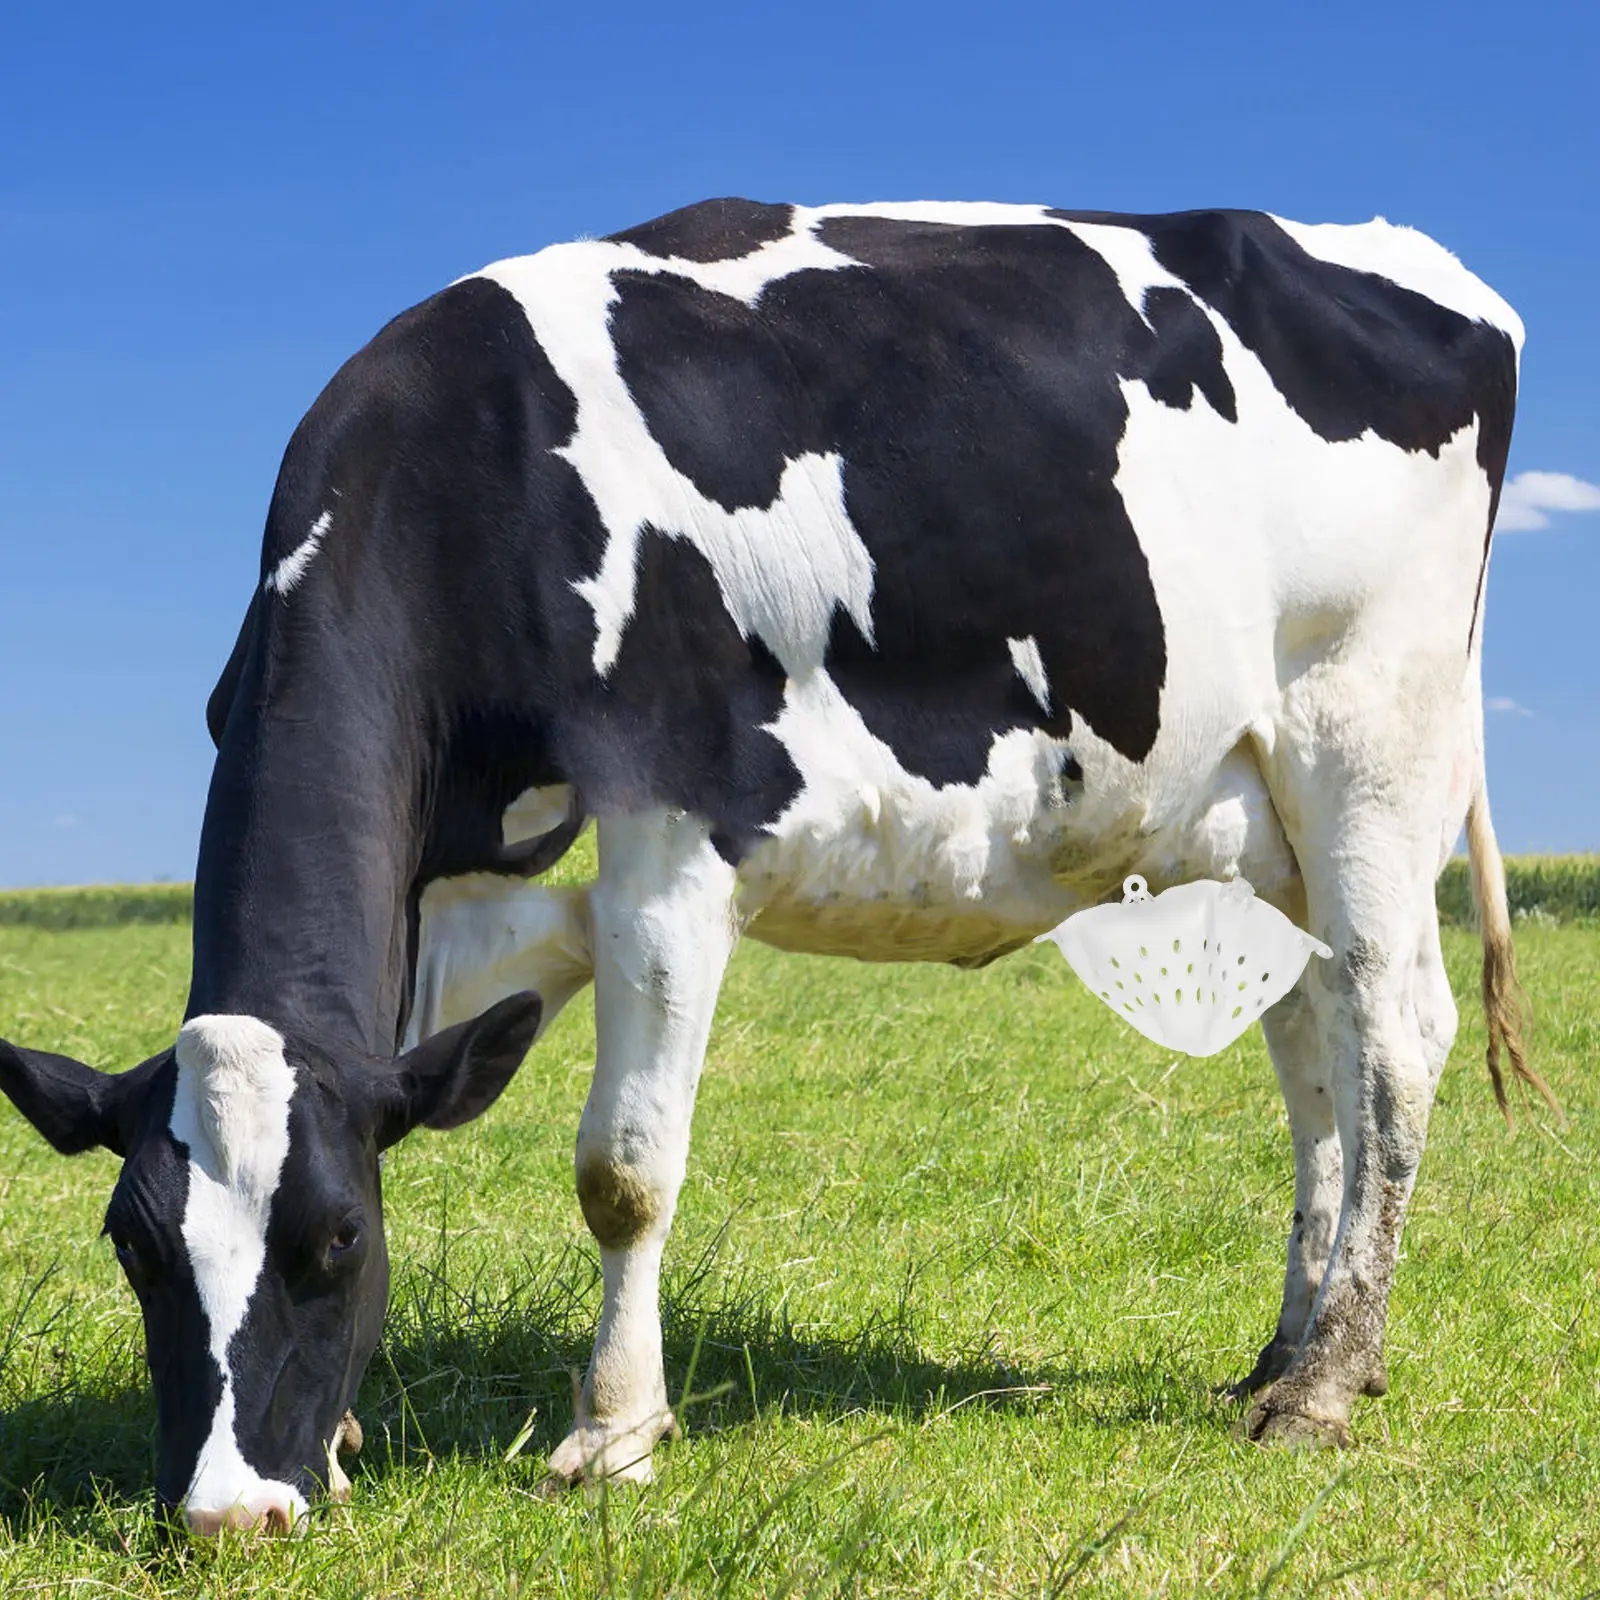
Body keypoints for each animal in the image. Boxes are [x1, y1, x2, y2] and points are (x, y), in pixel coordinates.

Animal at [0, 199, 1548, 1533]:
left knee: (1394, 1032)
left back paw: (1327, 1385)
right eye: (135, 1248)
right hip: (1254, 818)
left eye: (329, 1242)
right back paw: (1284, 1352)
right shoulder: (443, 898)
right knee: (1315, 1053)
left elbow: (622, 1168)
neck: (479, 480)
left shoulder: (674, 831)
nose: (226, 1512)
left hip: (1370, 745)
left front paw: (612, 1436)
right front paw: (336, 1434)